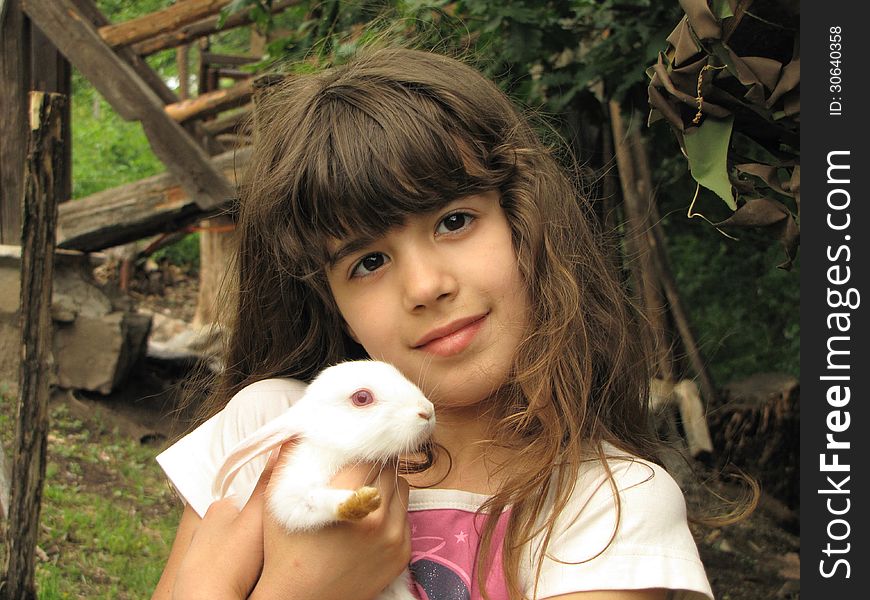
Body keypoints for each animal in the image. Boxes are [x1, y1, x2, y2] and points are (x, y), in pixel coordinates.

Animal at [210, 358, 432, 596]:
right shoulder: (291, 492)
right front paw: (361, 501)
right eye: (362, 398)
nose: (427, 411)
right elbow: (311, 502)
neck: (333, 448)